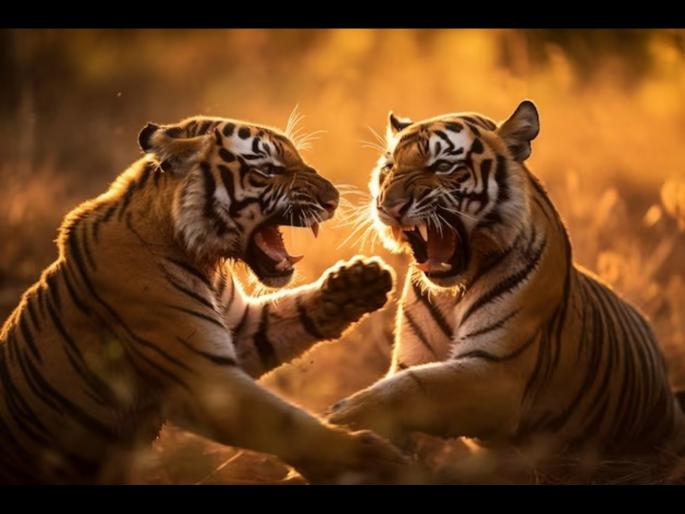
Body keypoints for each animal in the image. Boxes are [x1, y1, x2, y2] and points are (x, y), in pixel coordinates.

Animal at [0, 114, 410, 484]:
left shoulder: (240, 331)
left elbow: (293, 313)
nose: (334, 199)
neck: (201, 257)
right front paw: (373, 459)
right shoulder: (202, 373)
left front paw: (360, 282)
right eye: (269, 169)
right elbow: (288, 424)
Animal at [328, 100, 685, 480]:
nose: (389, 207)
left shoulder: (497, 372)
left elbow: (414, 387)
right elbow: (402, 387)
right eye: (390, 167)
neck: (452, 291)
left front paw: (345, 415)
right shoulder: (410, 358)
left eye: (442, 167)